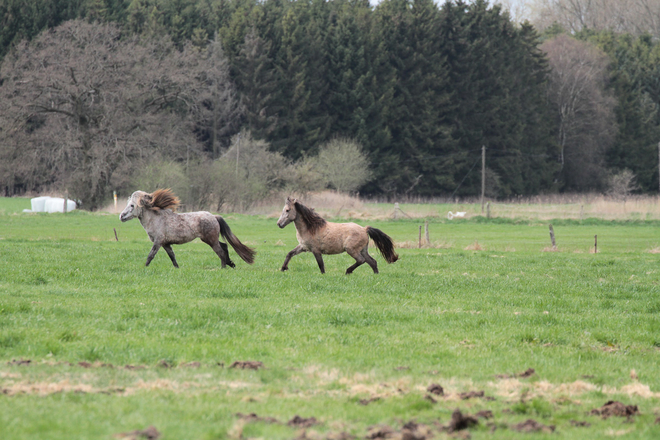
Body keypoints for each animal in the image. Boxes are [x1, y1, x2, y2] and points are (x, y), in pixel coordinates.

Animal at [118, 189, 255, 268]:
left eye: (132, 205)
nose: (121, 216)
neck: (156, 219)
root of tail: (214, 217)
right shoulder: (165, 244)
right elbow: (172, 257)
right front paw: (177, 268)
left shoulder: (158, 242)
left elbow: (150, 255)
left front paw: (144, 267)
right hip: (211, 239)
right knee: (224, 246)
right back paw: (230, 263)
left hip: (210, 240)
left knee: (220, 251)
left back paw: (223, 267)